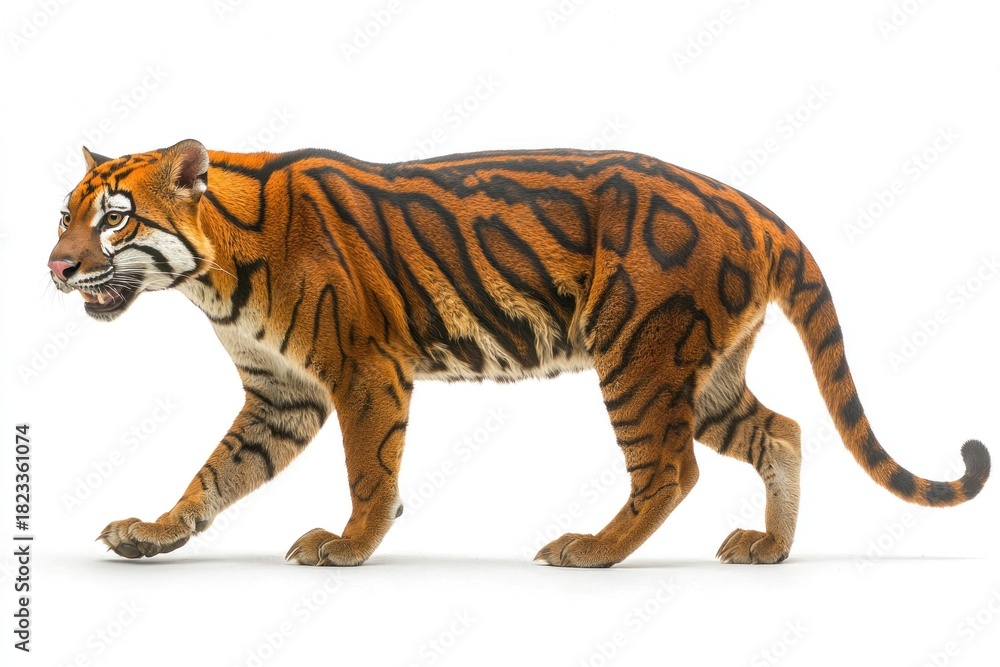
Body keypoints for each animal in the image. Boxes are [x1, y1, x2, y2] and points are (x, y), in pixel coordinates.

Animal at [47, 139, 989, 567]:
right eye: (66, 213)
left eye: (115, 218)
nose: (55, 266)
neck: (213, 278)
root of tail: (754, 208)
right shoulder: (281, 393)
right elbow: (217, 470)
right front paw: (155, 531)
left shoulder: (362, 372)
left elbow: (369, 470)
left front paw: (350, 544)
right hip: (707, 370)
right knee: (782, 430)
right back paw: (771, 546)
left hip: (640, 355)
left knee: (669, 469)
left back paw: (593, 548)